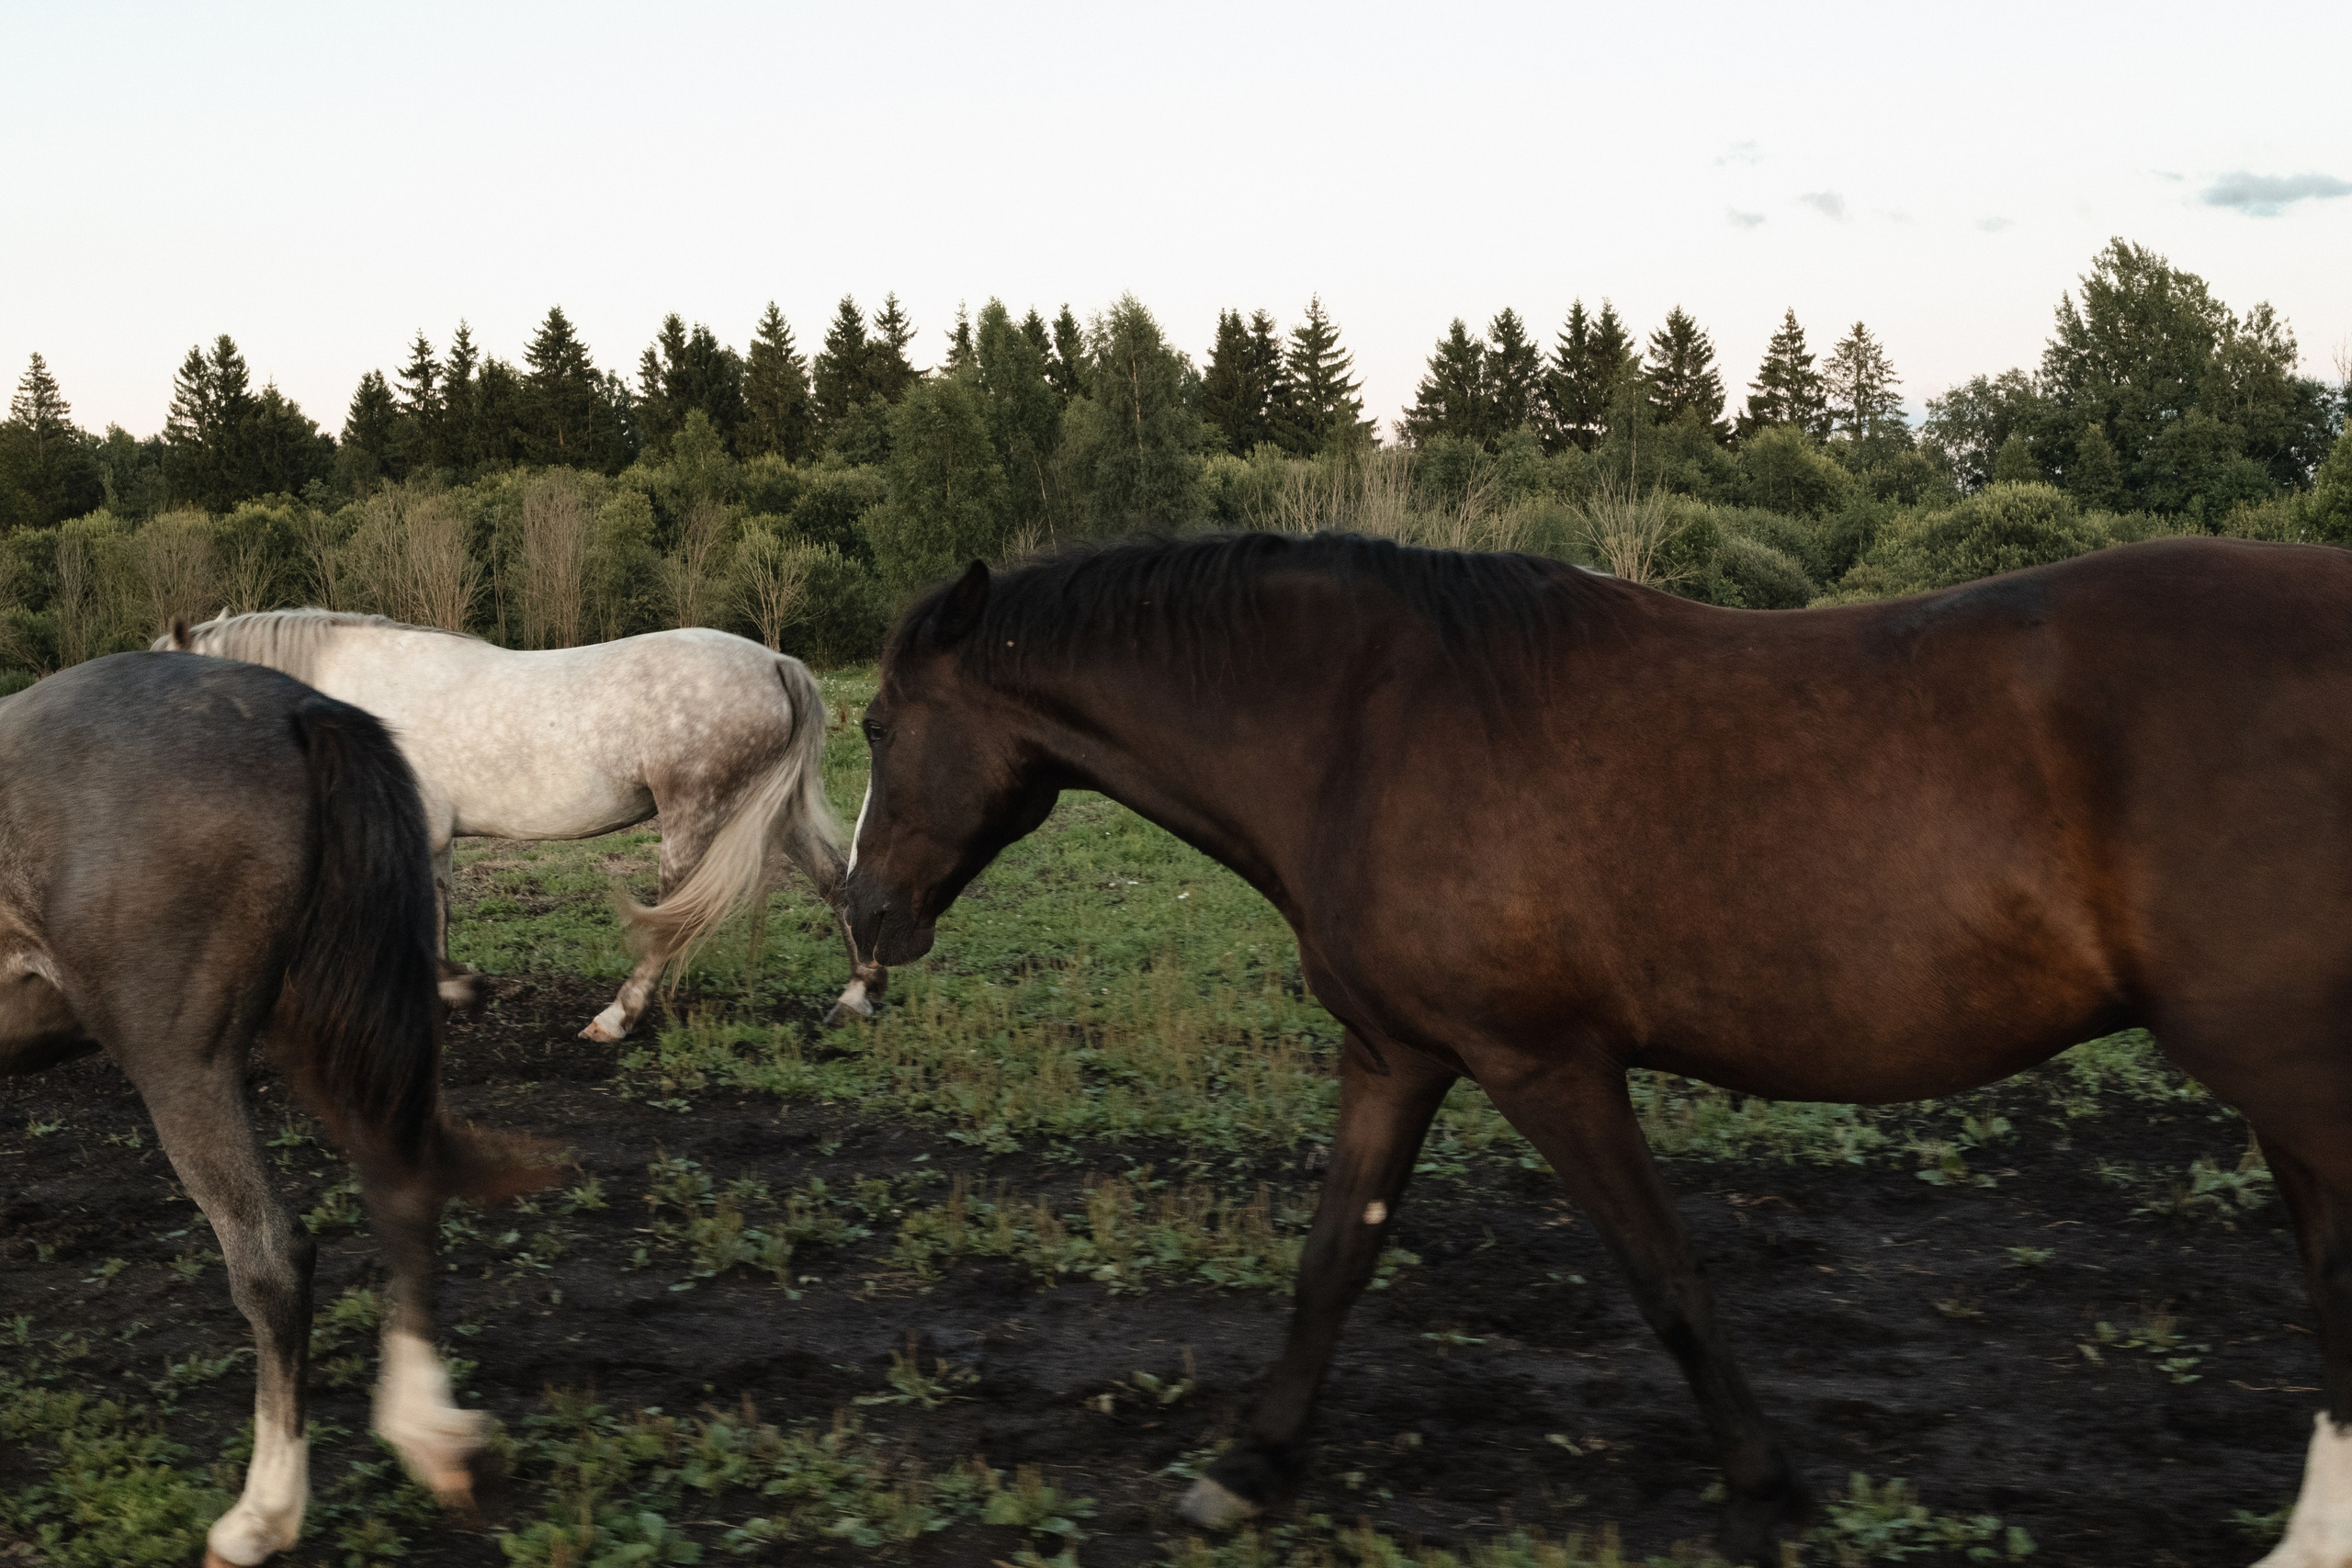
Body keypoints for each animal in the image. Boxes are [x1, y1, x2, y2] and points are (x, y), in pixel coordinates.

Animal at [0, 652, 545, 1567]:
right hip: (330, 1029)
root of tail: (299, 706)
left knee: (272, 1259)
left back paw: (262, 1512)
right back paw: (429, 1431)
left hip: (183, 1067)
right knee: (403, 1191)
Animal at [161, 611, 882, 1039]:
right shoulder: (433, 836)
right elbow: (439, 908)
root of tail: (776, 664)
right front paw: (452, 986)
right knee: (834, 884)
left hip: (696, 817)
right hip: (768, 813)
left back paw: (615, 1017)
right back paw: (856, 996)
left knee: (668, 920)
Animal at [839, 531, 2352, 1567]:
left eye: (874, 722)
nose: (861, 917)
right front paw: (1250, 1467)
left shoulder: (1544, 1062)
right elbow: (1331, 1262)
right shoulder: (1395, 1055)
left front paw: (1768, 1493)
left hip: (2286, 1068)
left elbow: (1666, 1276)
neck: (1361, 732)